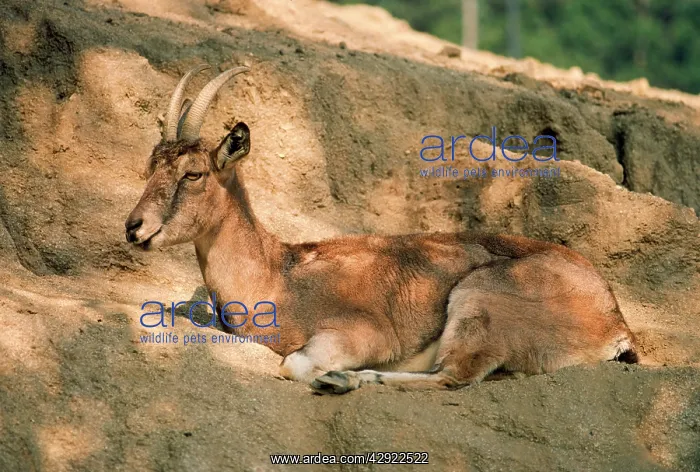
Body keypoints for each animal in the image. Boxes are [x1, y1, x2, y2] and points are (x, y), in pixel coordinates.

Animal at [125, 65, 638, 394]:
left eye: (194, 173)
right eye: (151, 165)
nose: (134, 227)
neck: (279, 277)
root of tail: (615, 322)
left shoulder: (361, 333)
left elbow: (293, 363)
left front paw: (332, 375)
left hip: (480, 299)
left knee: (455, 377)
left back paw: (349, 380)